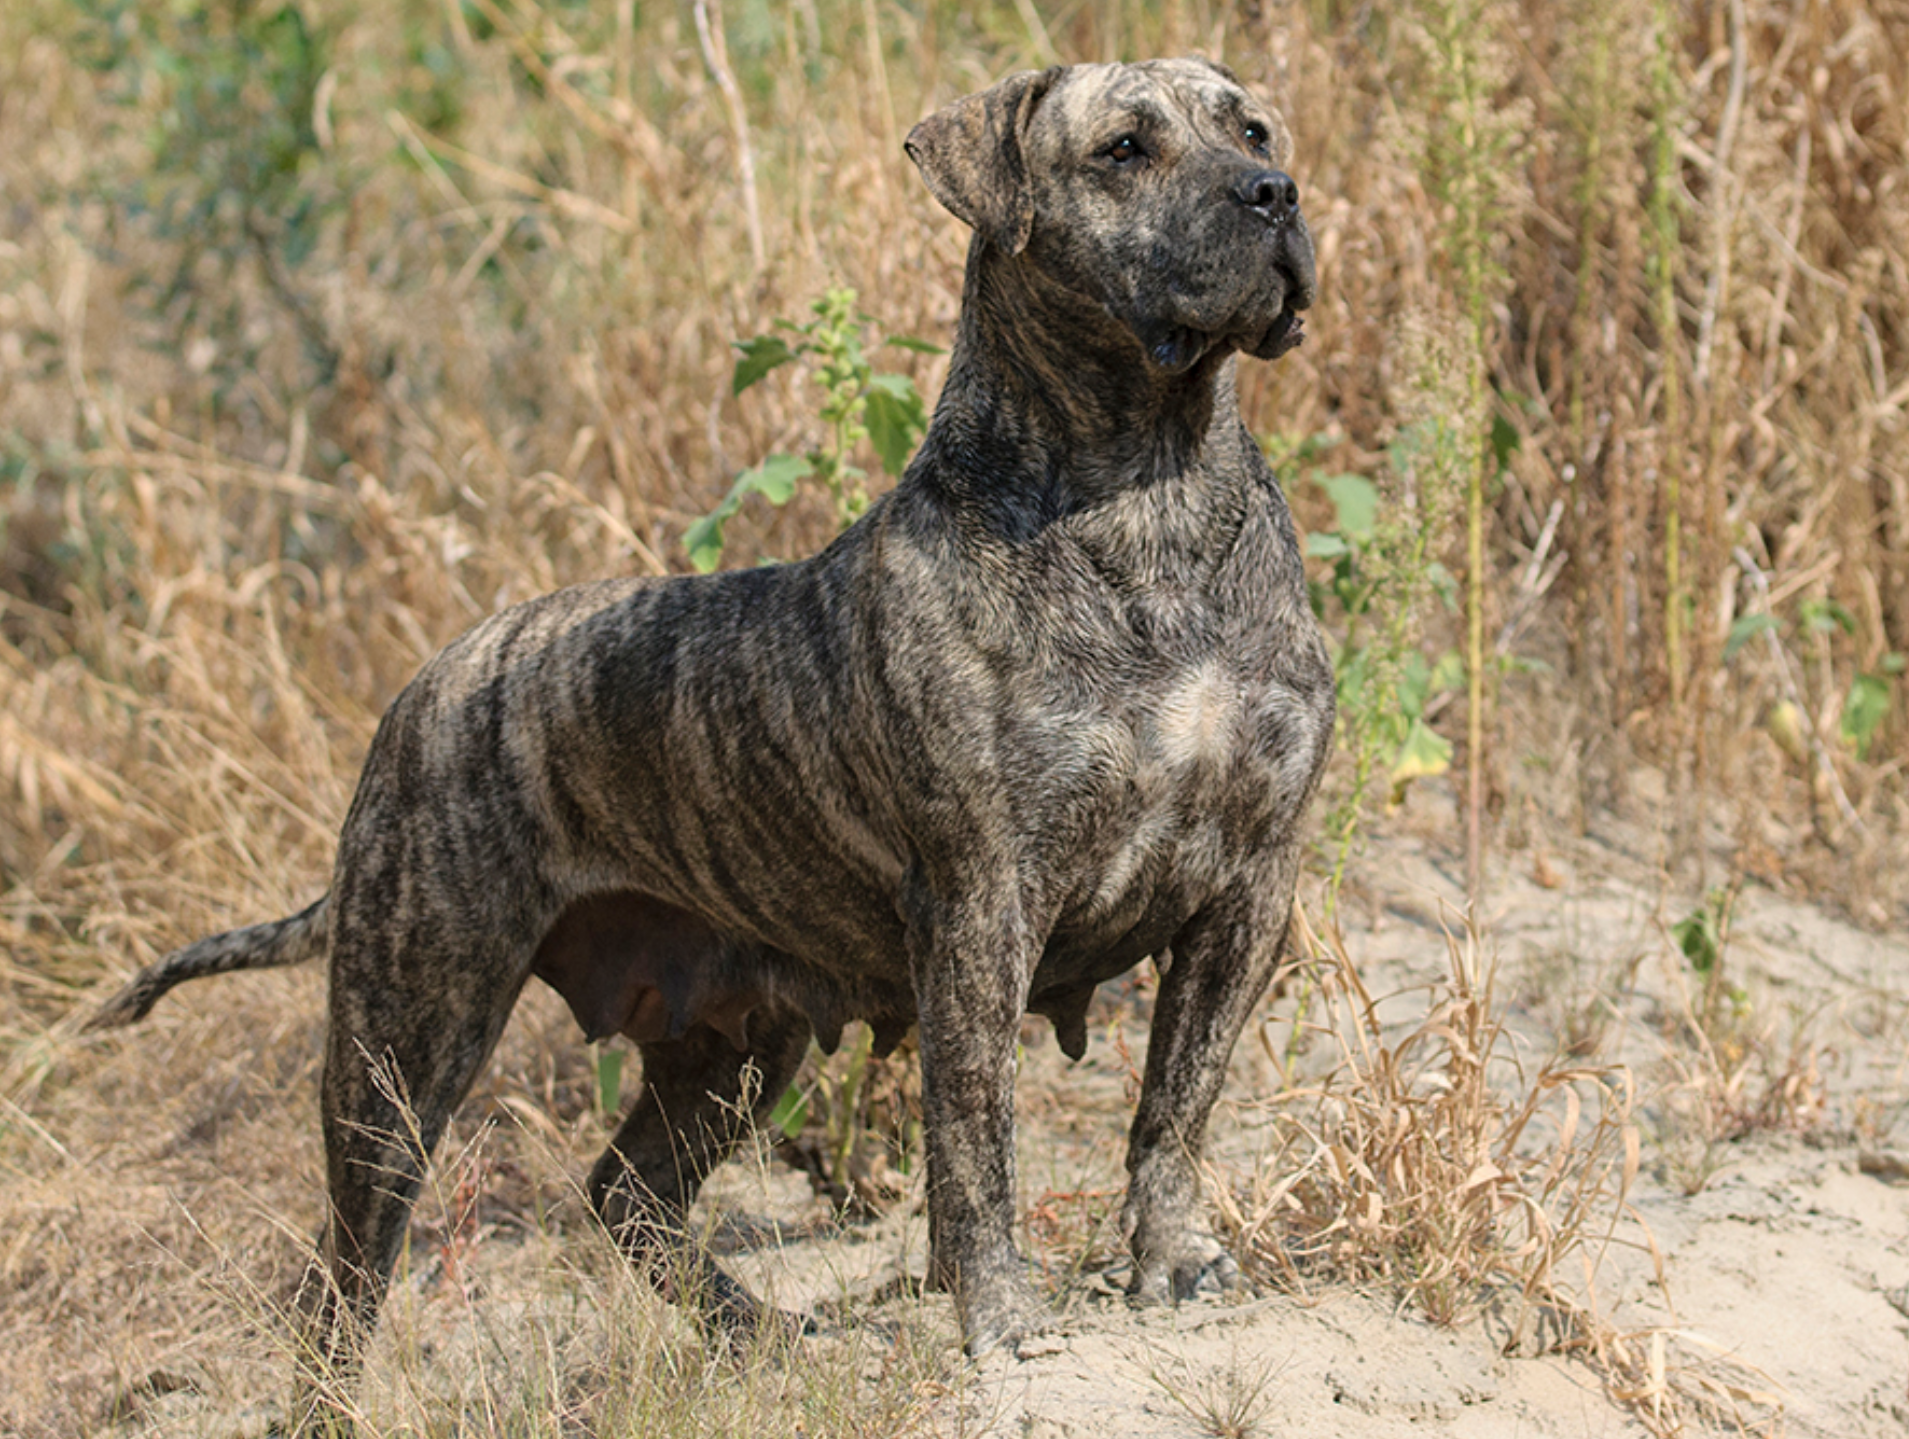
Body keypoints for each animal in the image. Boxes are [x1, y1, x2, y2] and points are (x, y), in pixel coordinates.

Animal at [89, 53, 1336, 1412]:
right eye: (1122, 150)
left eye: (1252, 130)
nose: (1275, 193)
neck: (1151, 493)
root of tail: (428, 684)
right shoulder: (984, 904)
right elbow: (975, 1142)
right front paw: (1005, 1323)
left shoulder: (1247, 887)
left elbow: (1176, 1103)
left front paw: (1175, 1261)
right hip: (401, 1043)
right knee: (346, 1271)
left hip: (731, 1043)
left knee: (624, 1193)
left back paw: (754, 1329)